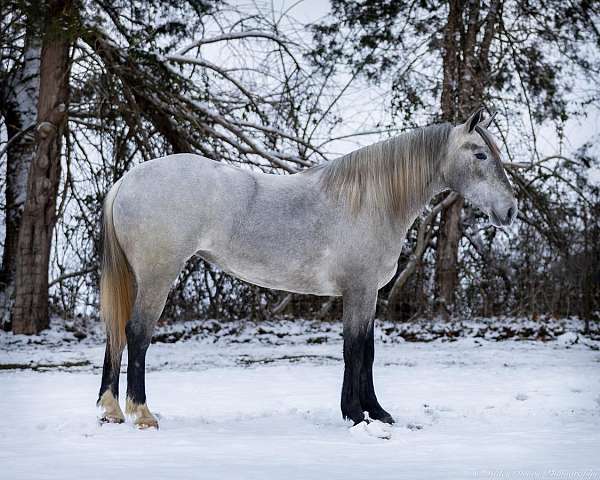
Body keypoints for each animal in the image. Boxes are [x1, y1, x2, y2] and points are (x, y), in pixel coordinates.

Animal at [97, 109, 516, 432]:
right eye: (481, 154)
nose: (509, 211)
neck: (372, 201)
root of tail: (126, 181)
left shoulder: (367, 294)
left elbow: (366, 350)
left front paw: (373, 413)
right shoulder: (359, 289)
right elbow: (355, 350)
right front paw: (359, 414)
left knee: (116, 333)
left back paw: (111, 411)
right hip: (158, 276)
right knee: (137, 334)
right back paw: (142, 414)